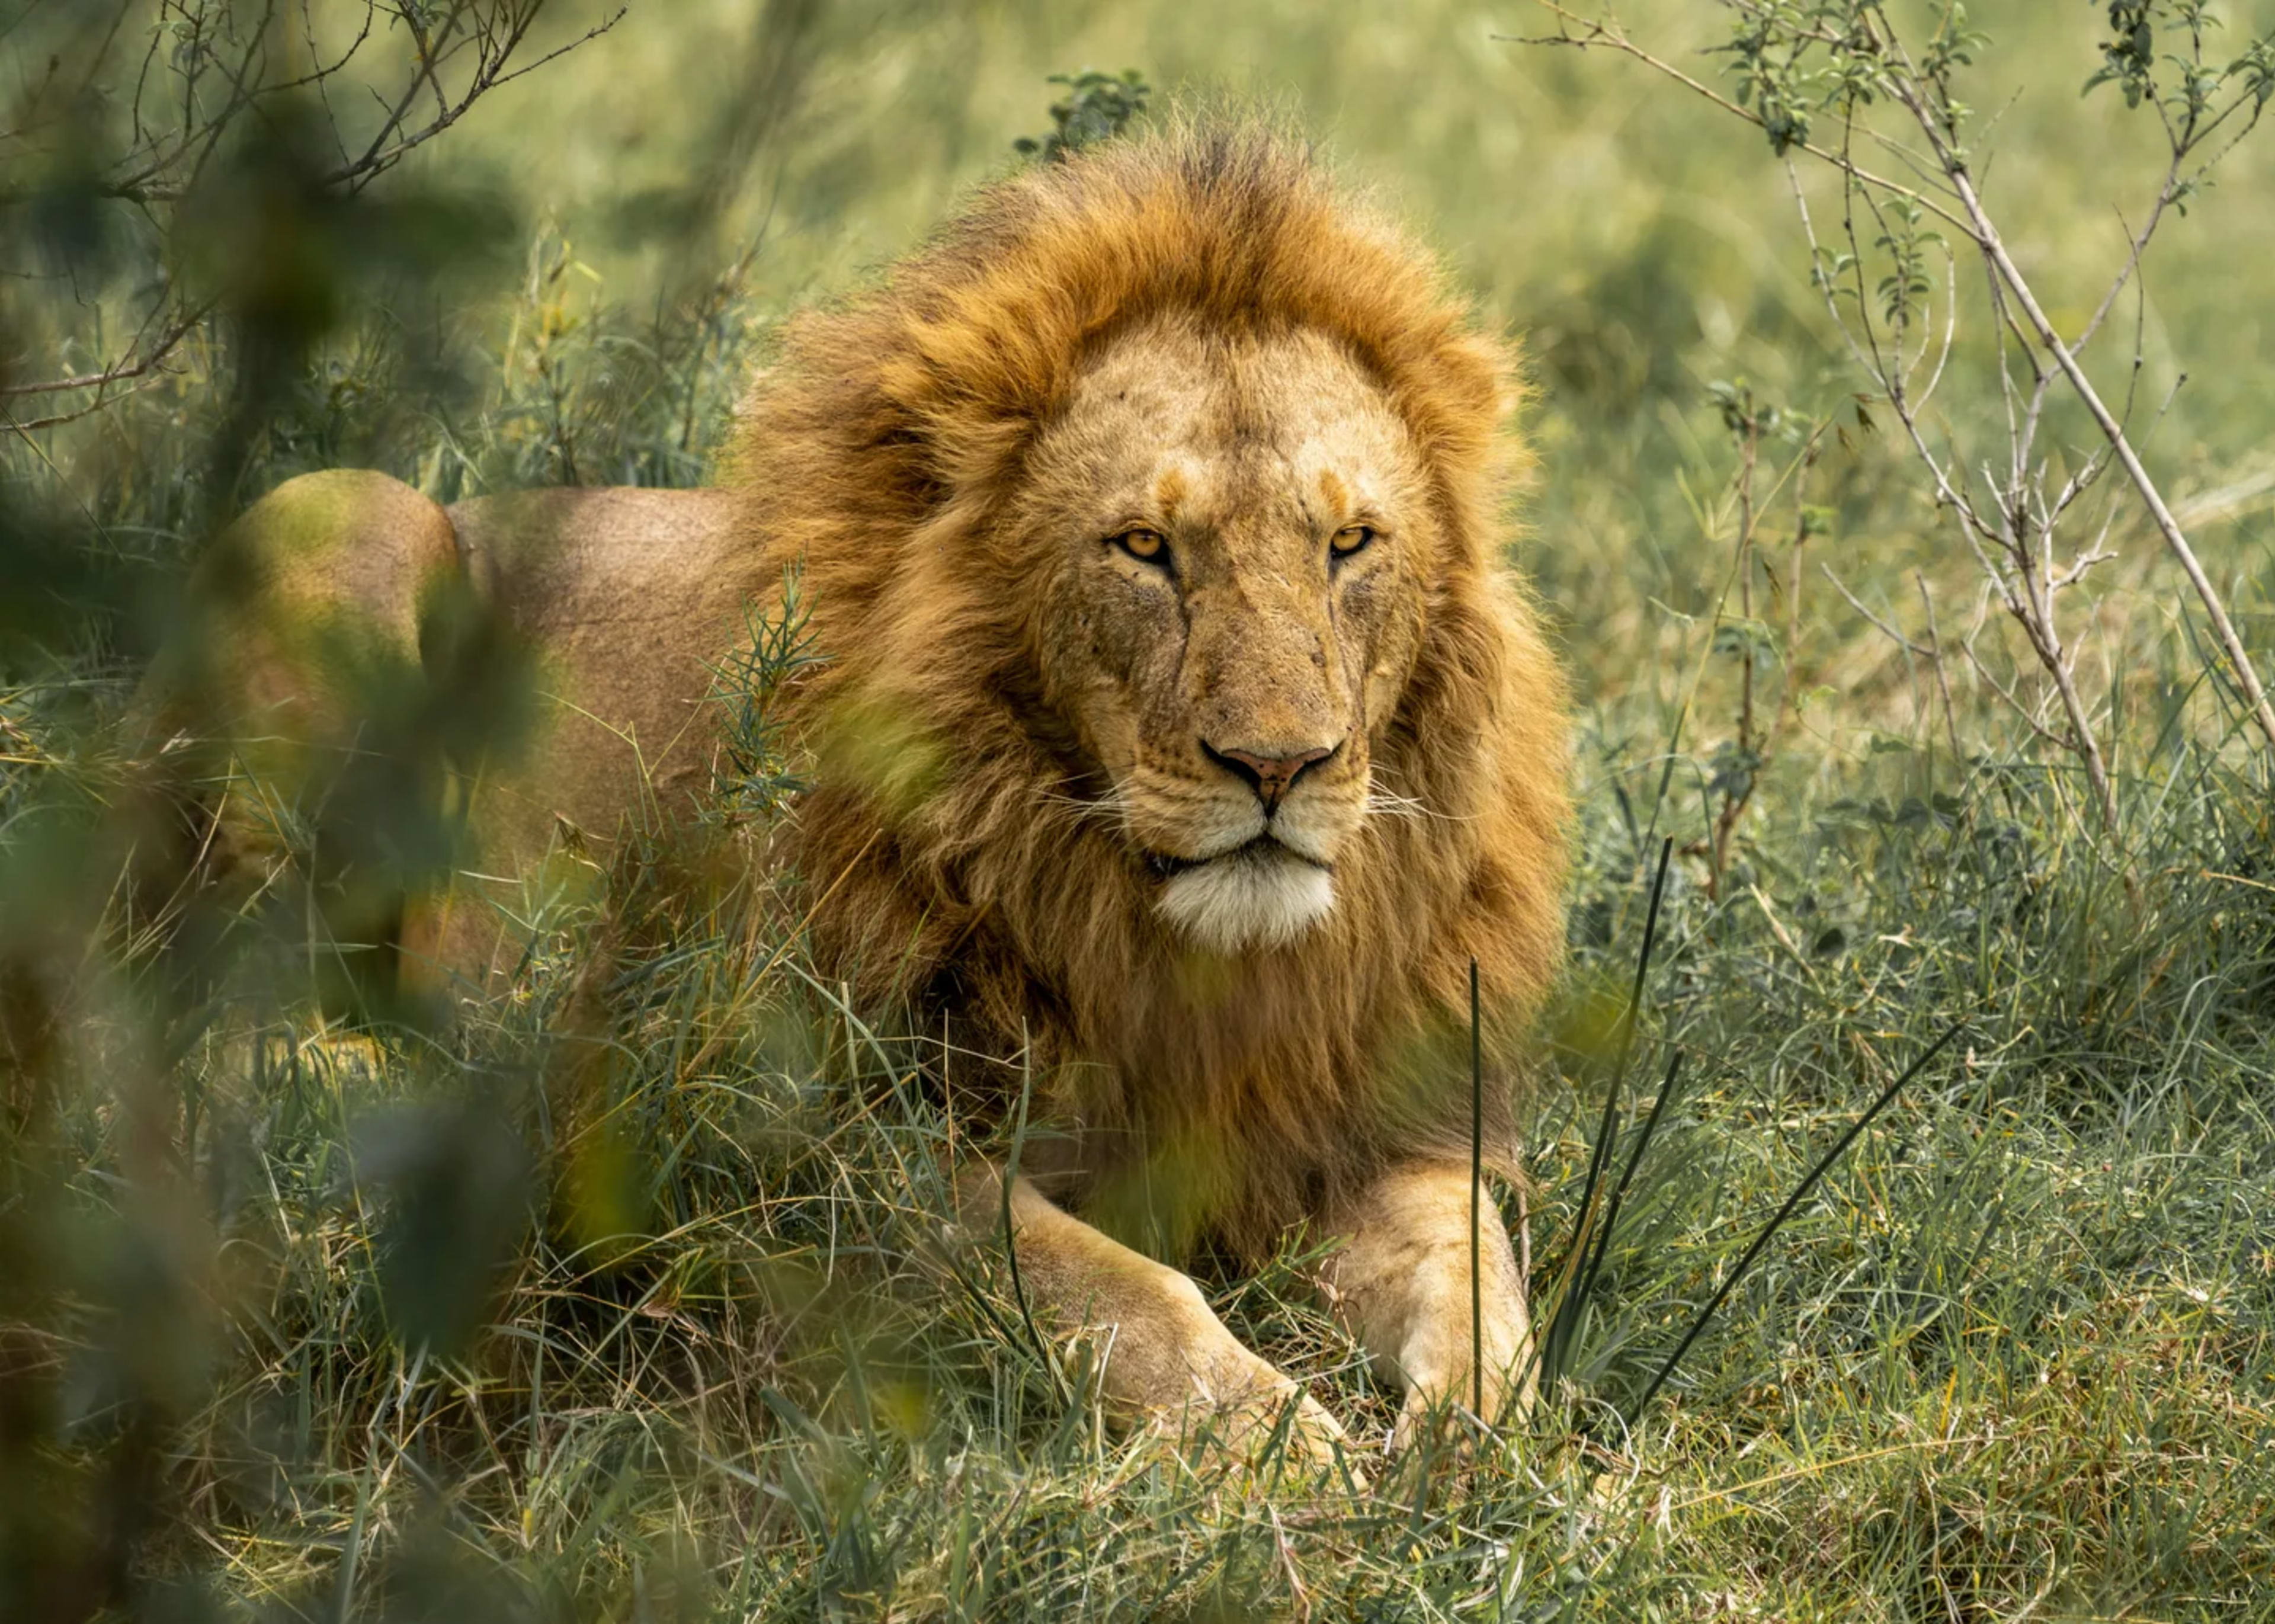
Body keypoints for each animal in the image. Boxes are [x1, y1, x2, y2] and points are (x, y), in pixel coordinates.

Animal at [161, 126, 1571, 1466]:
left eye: (1349, 546)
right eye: (1143, 549)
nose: (1281, 766)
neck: (1155, 939)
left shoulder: (1375, 1121)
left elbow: (1483, 1275)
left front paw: (1480, 1447)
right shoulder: (819, 1153)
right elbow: (1110, 1285)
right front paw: (1271, 1441)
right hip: (340, 519)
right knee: (226, 1022)